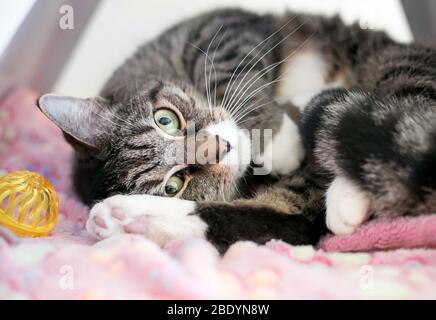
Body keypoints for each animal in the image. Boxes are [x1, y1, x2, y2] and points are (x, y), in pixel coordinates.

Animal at [36, 8, 436, 252]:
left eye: (166, 119)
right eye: (173, 185)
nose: (218, 148)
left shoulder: (218, 28)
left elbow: (231, 65)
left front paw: (276, 141)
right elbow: (283, 220)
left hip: (397, 63)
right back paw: (130, 220)